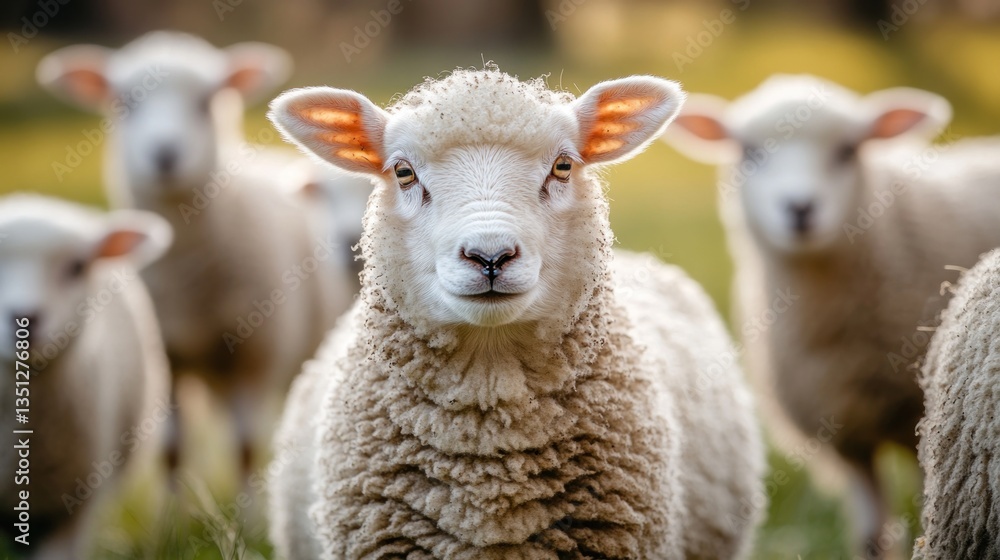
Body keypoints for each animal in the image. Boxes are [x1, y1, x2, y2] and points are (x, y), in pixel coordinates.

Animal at [36, 31, 346, 484]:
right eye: (124, 103)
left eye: (205, 101)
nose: (165, 153)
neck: (183, 270)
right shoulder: (166, 357)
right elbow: (171, 452)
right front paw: (171, 506)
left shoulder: (253, 355)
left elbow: (245, 447)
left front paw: (246, 505)